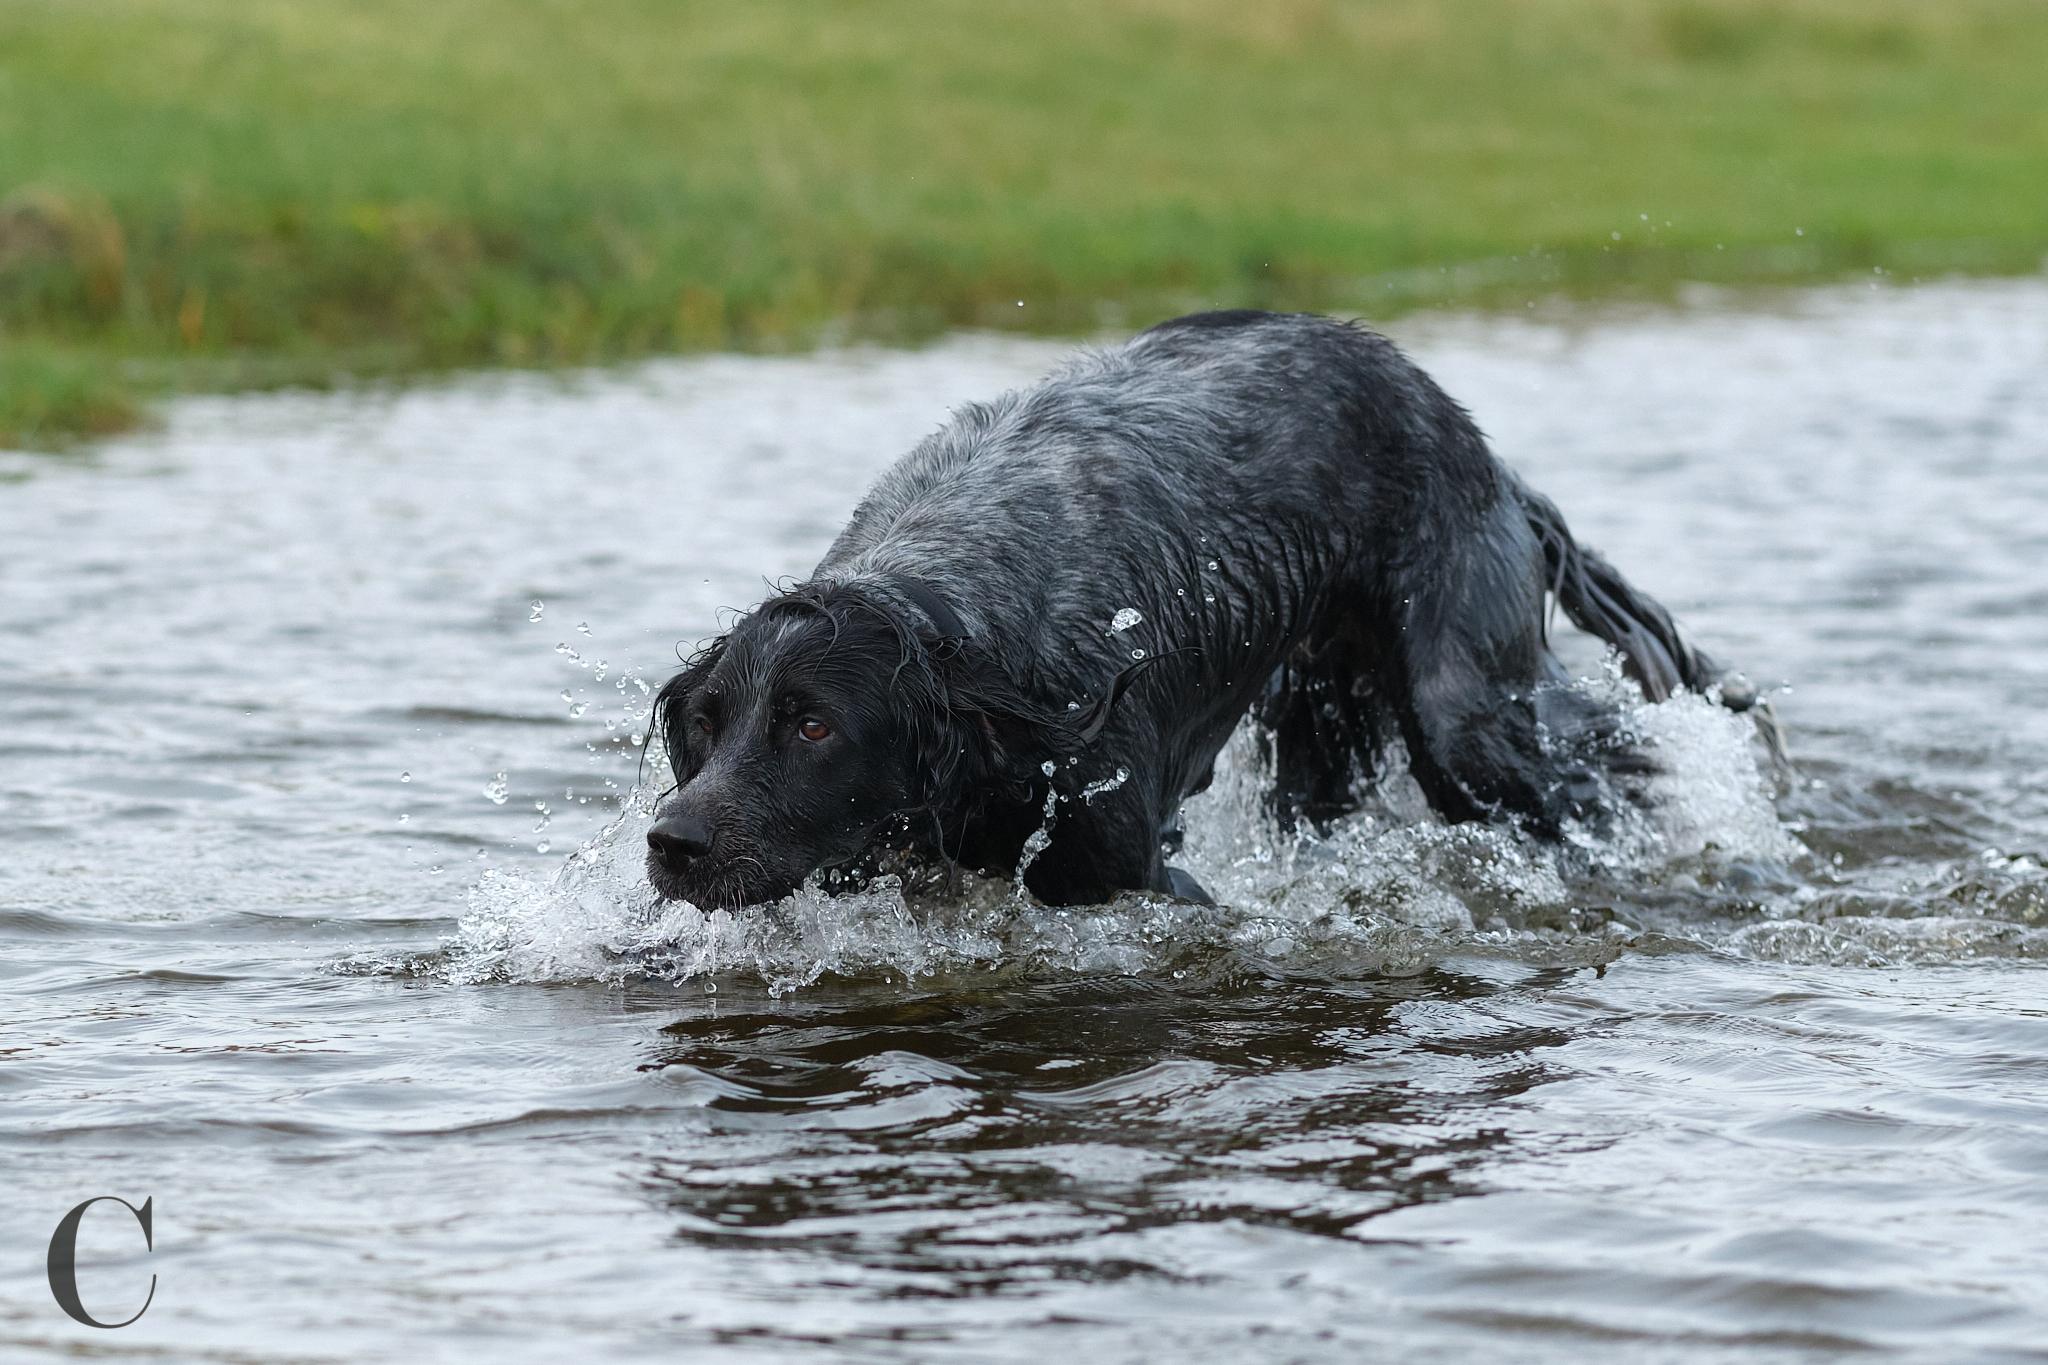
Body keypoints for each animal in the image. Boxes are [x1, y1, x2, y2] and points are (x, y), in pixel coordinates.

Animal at [643, 309, 1761, 908]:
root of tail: (1485, 452)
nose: (671, 842)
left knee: (1595, 772)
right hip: (1320, 724)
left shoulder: (1128, 867)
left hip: (1467, 720)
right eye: (709, 724)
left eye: (813, 726)